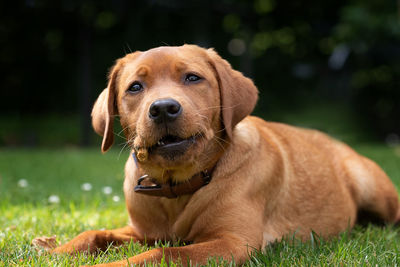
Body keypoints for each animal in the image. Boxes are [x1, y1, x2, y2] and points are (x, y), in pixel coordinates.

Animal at [47, 45, 400, 266]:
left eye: (192, 77)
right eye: (135, 87)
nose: (163, 108)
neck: (177, 188)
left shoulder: (233, 242)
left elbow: (163, 254)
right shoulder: (143, 232)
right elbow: (95, 233)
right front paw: (56, 250)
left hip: (375, 191)